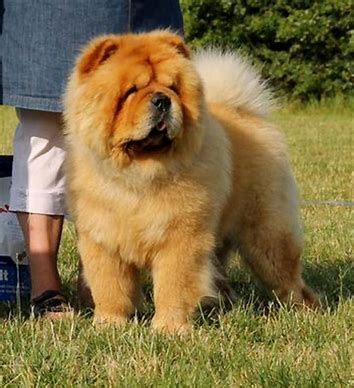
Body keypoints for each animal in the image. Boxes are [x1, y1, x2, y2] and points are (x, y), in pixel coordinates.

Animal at [64, 31, 318, 334]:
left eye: (172, 87)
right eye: (131, 91)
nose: (162, 100)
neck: (138, 174)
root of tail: (246, 113)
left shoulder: (180, 238)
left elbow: (173, 286)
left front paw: (168, 329)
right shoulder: (103, 241)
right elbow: (111, 287)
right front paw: (109, 324)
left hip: (266, 238)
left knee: (289, 279)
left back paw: (304, 313)